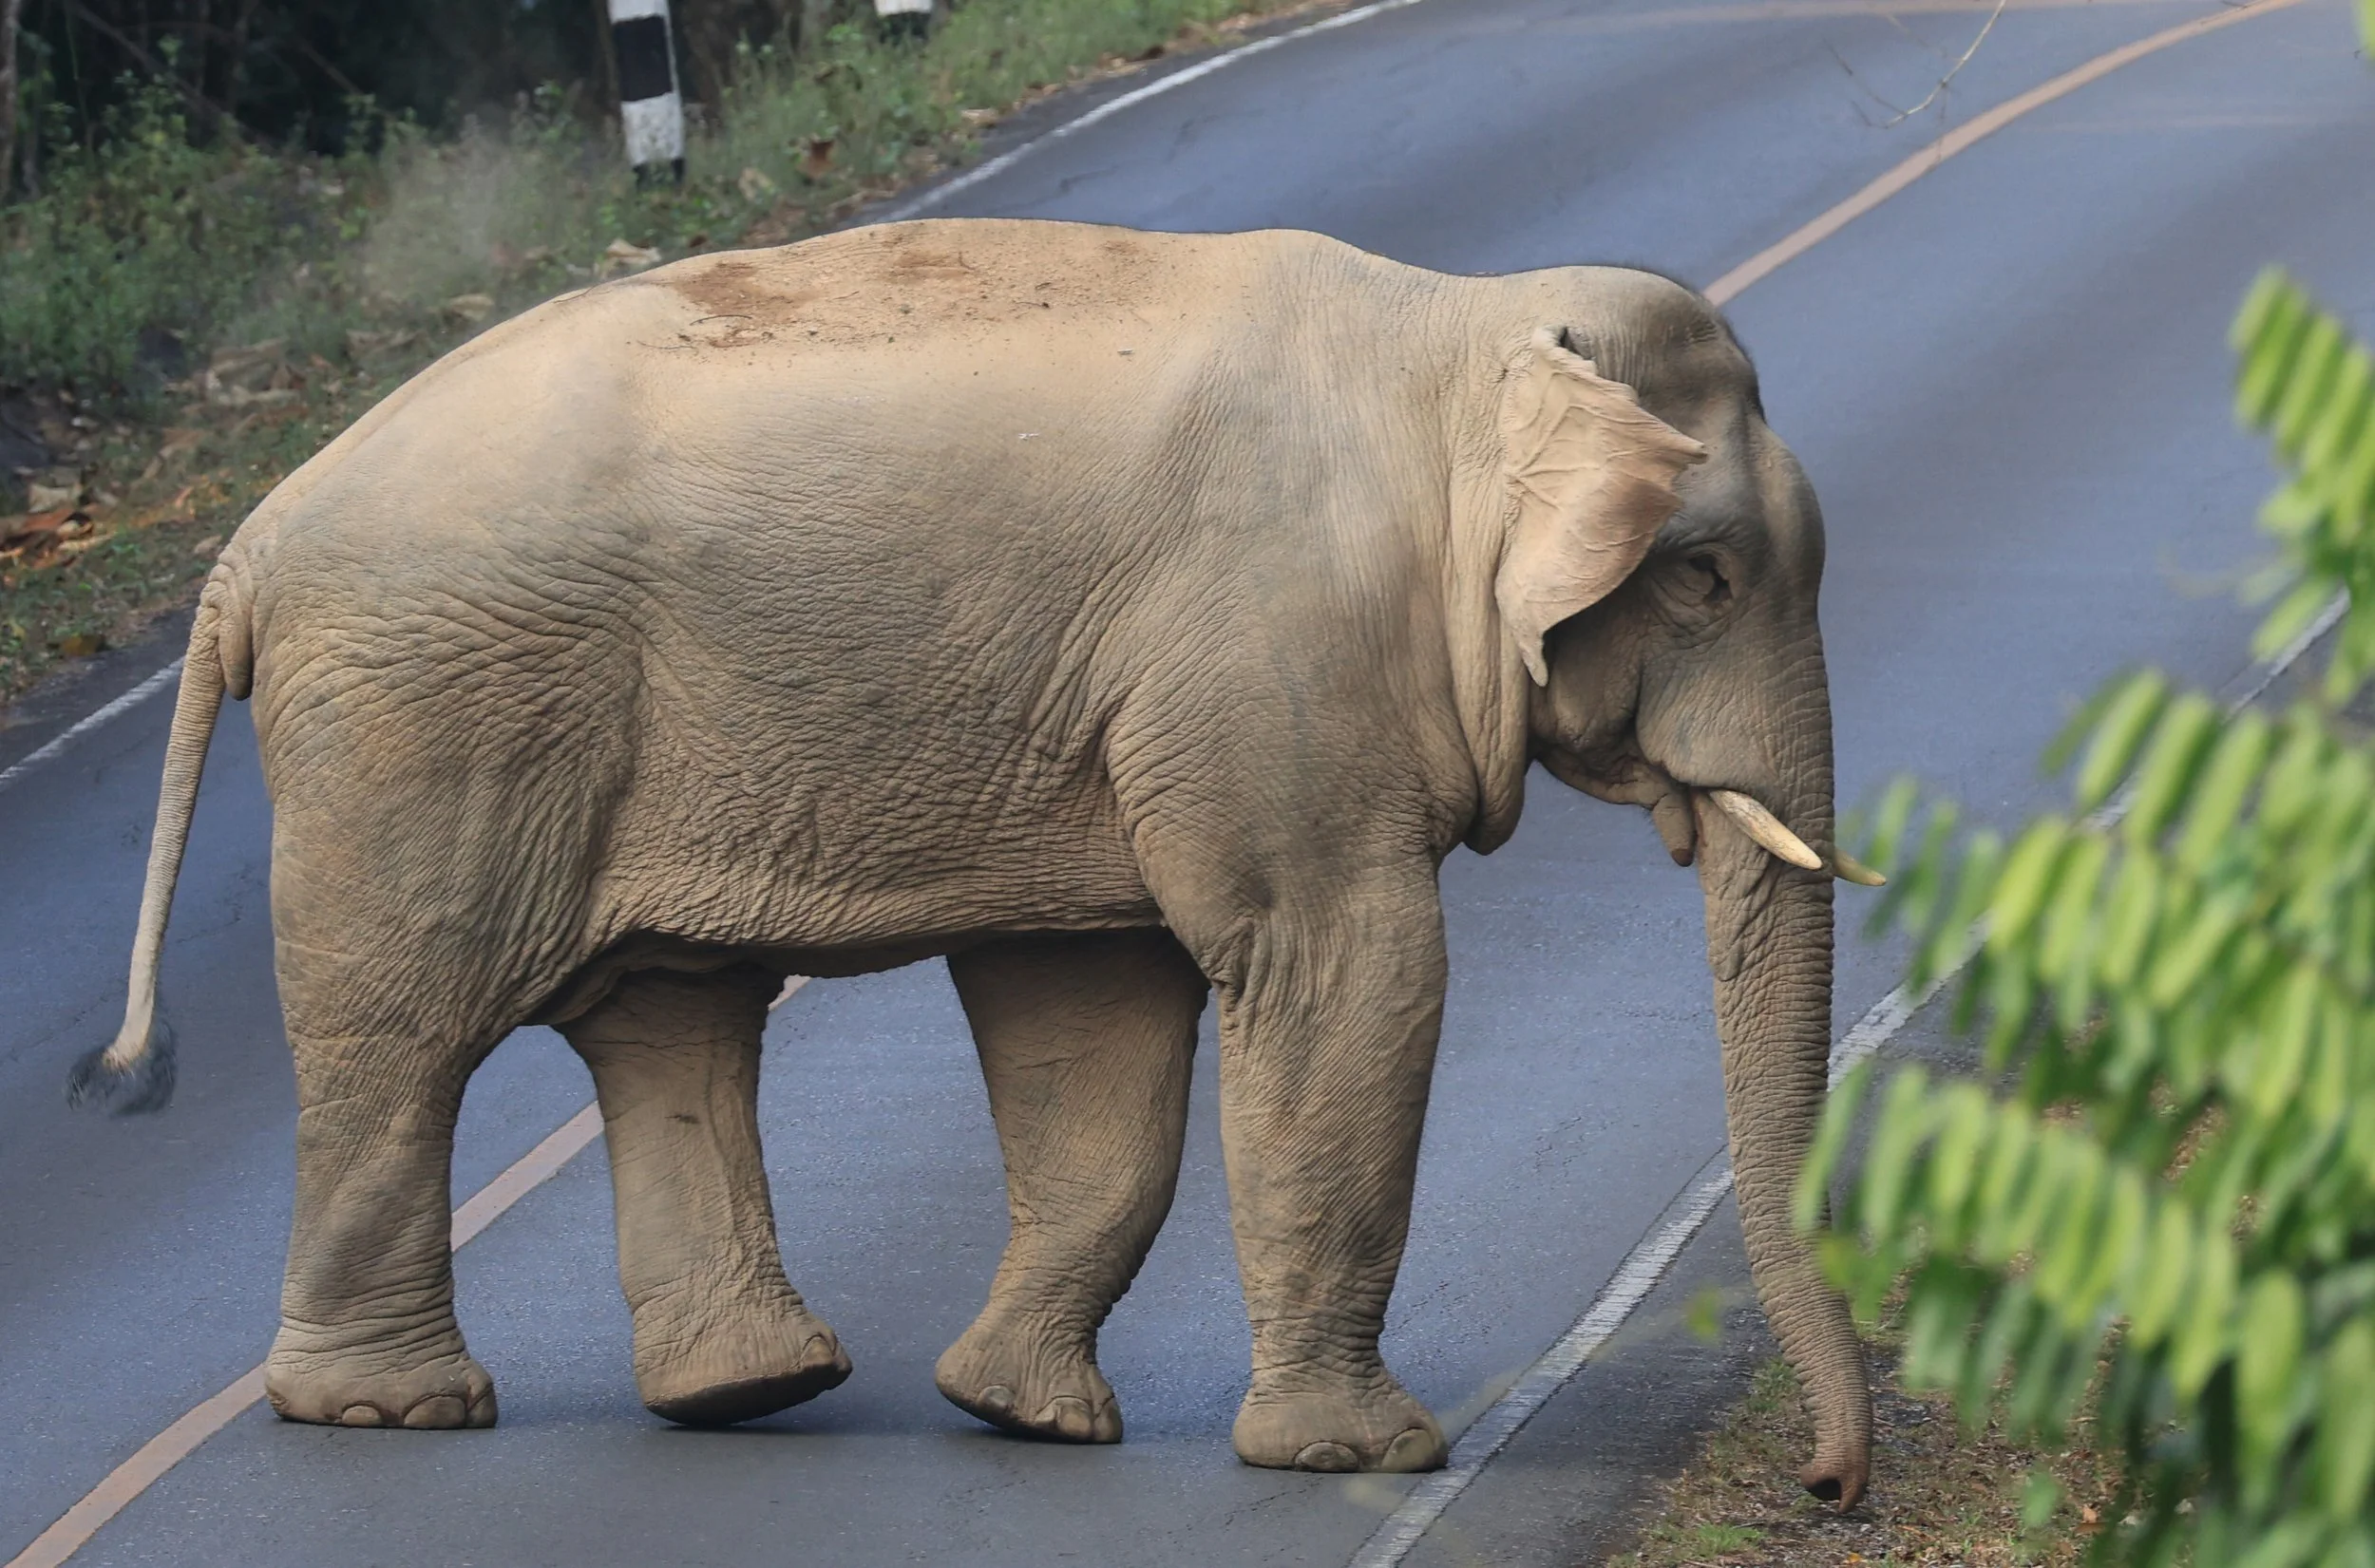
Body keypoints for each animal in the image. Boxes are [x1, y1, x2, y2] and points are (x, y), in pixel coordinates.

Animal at [83, 218, 1877, 1500]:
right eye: (1707, 578)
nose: (1823, 1480)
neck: (1459, 330)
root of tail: (246, 547)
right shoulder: (1268, 666)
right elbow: (1340, 967)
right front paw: (1361, 1456)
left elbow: (1094, 1031)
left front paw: (1023, 1415)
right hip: (430, 719)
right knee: (405, 1036)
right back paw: (394, 1407)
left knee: (669, 1019)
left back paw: (751, 1386)